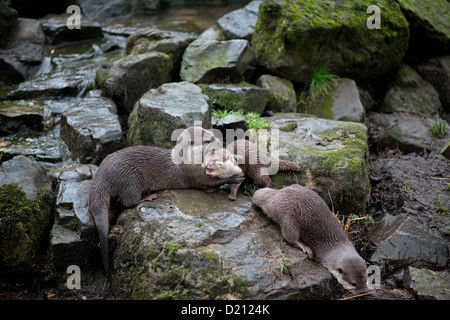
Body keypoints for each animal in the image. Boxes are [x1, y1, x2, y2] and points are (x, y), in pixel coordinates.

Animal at [88, 126, 243, 272]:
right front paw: (235, 177)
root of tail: (102, 173)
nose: (220, 142)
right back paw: (148, 197)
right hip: (130, 177)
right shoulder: (194, 174)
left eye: (212, 134)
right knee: (129, 201)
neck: (186, 161)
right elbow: (211, 181)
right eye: (207, 140)